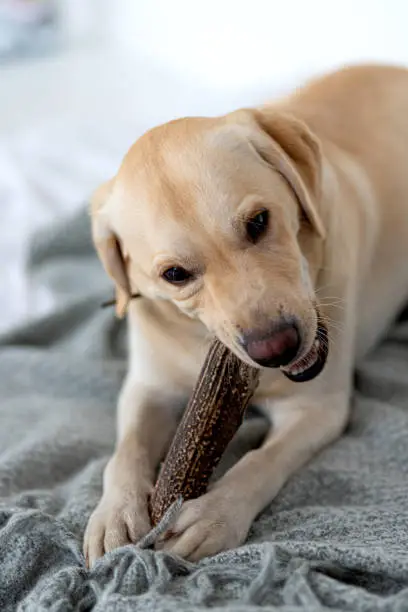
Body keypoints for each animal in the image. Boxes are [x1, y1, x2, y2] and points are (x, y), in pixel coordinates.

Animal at [83, 64, 408, 568]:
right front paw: (114, 513)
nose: (276, 347)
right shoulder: (147, 387)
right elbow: (126, 450)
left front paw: (215, 514)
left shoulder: (318, 408)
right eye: (175, 275)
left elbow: (260, 462)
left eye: (258, 221)